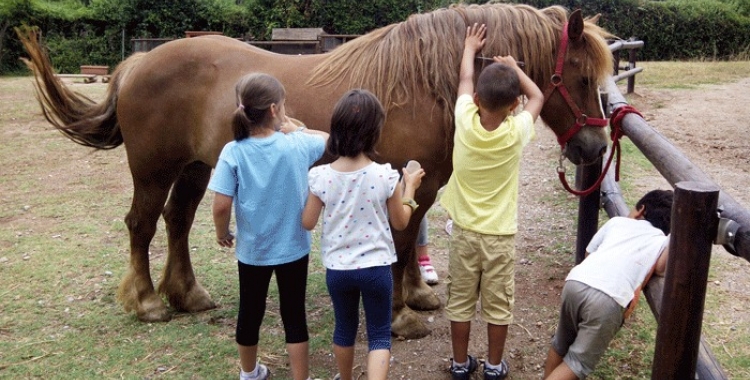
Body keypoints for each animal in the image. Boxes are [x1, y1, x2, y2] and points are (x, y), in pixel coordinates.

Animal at [19, 2, 616, 336]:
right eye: (584, 78)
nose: (594, 146)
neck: (424, 82)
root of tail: (142, 59)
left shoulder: (419, 185)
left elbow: (408, 243)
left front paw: (416, 297)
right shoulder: (401, 181)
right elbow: (399, 244)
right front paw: (401, 316)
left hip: (194, 168)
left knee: (178, 223)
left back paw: (186, 295)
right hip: (153, 168)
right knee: (142, 225)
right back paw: (147, 302)